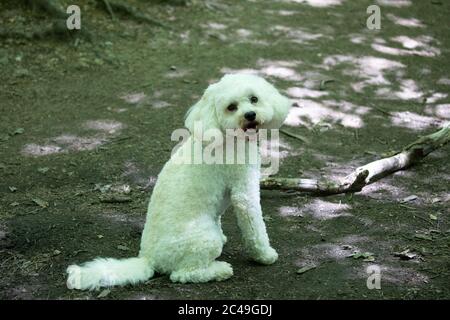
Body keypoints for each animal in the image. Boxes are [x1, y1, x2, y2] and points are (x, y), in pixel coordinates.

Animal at [67, 74, 292, 288]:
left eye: (254, 99)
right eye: (231, 107)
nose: (250, 115)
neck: (225, 136)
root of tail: (149, 259)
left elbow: (218, 217)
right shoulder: (244, 193)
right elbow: (255, 229)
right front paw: (265, 255)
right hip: (202, 240)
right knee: (184, 274)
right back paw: (220, 270)